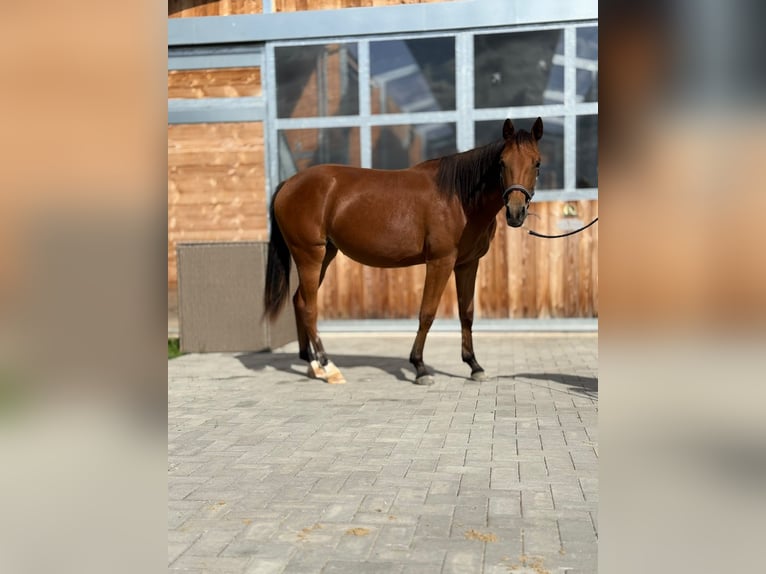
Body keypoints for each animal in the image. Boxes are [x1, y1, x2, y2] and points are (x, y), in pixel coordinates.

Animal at [263, 117, 543, 385]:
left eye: (537, 163)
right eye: (502, 163)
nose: (516, 212)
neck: (458, 198)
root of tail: (288, 183)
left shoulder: (467, 263)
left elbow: (467, 313)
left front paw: (474, 365)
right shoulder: (440, 262)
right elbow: (427, 313)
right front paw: (419, 367)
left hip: (324, 255)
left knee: (300, 301)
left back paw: (312, 364)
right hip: (309, 255)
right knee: (310, 307)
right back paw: (329, 366)